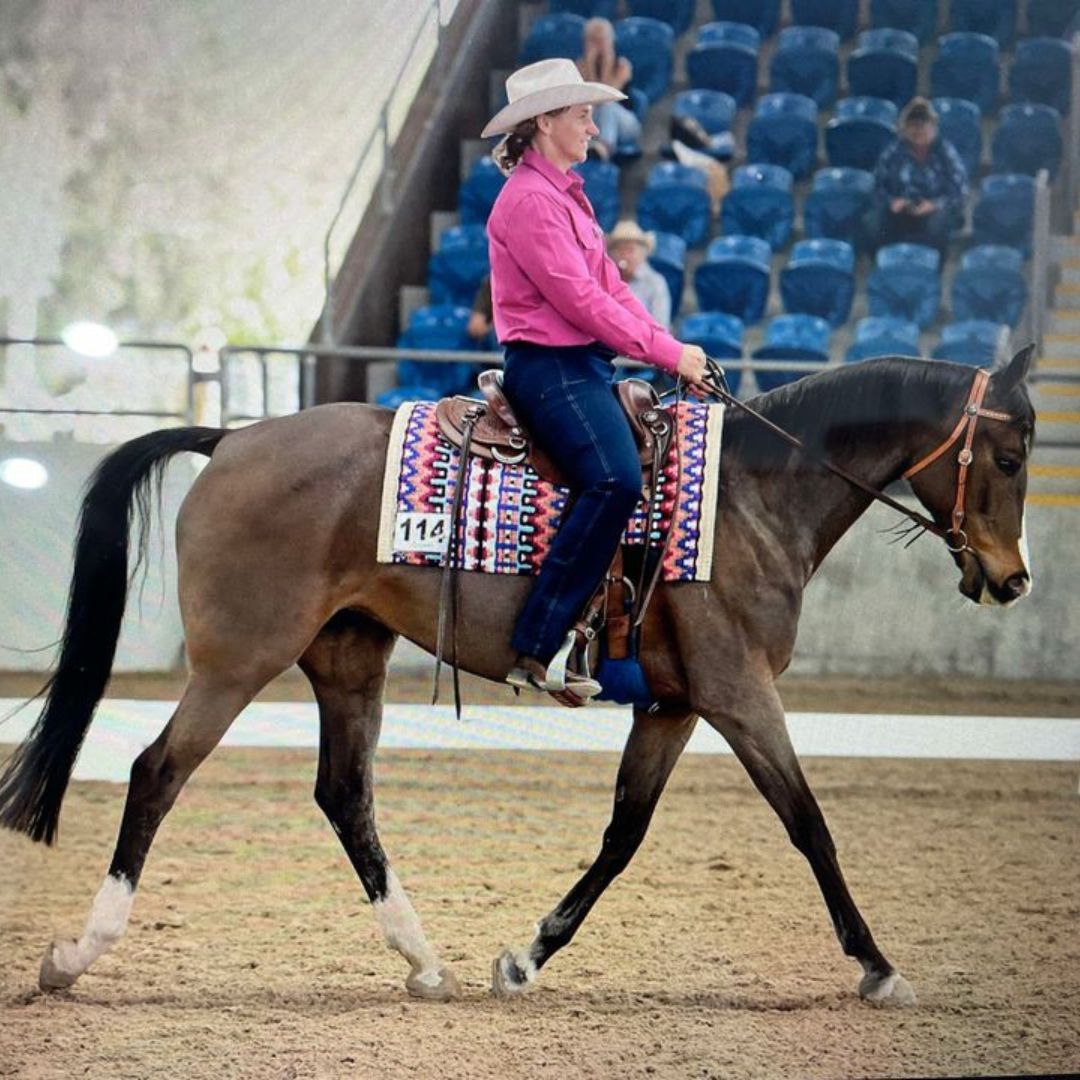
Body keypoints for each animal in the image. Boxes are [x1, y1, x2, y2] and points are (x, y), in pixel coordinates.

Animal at [0, 345, 1036, 1002]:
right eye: (1011, 454)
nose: (1013, 579)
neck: (749, 496)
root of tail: (233, 438)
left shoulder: (672, 706)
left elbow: (624, 834)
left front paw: (527, 957)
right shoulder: (741, 695)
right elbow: (809, 826)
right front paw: (878, 967)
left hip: (347, 657)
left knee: (345, 796)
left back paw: (424, 963)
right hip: (238, 659)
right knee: (157, 773)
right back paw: (76, 955)